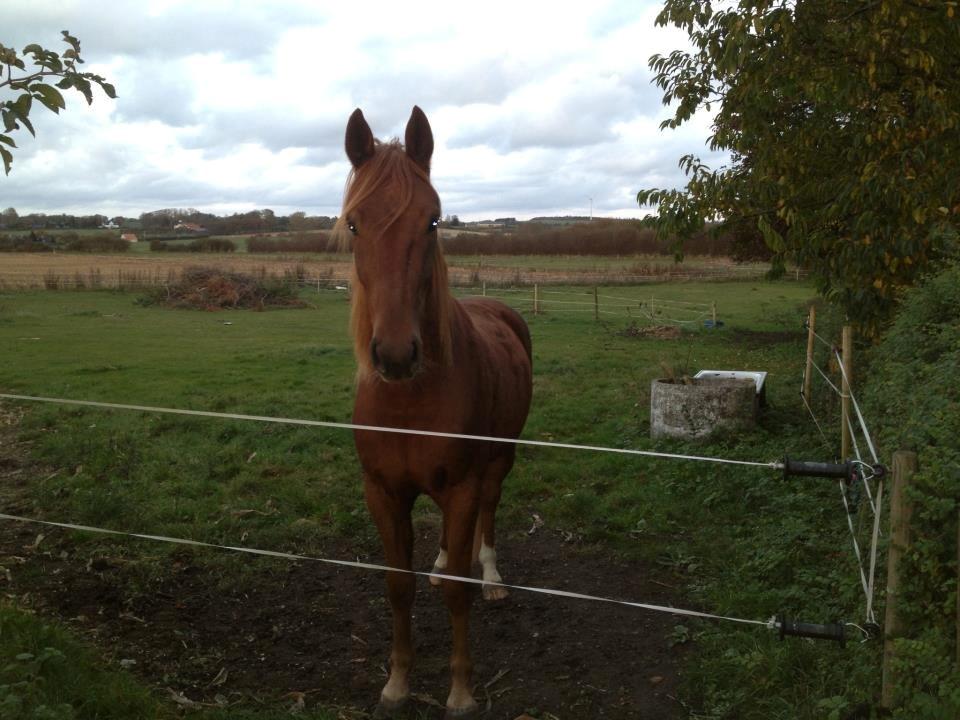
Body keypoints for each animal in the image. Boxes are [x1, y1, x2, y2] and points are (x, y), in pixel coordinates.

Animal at [338, 104, 532, 716]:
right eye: (354, 224)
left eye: (433, 221)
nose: (397, 354)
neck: (409, 399)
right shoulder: (382, 491)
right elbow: (397, 586)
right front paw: (397, 682)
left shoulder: (464, 486)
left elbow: (458, 596)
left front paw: (461, 691)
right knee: (448, 552)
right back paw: (444, 562)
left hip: (500, 459)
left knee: (490, 513)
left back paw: (491, 575)